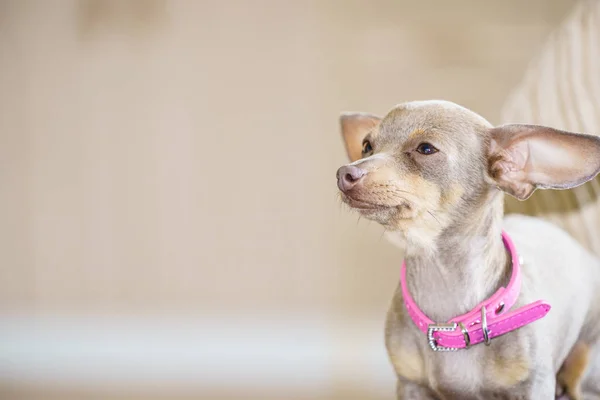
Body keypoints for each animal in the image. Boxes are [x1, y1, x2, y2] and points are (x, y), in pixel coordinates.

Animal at [336, 101, 600, 400]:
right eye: (367, 146)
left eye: (426, 149)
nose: (344, 173)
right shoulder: (411, 385)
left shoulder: (533, 387)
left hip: (584, 368)